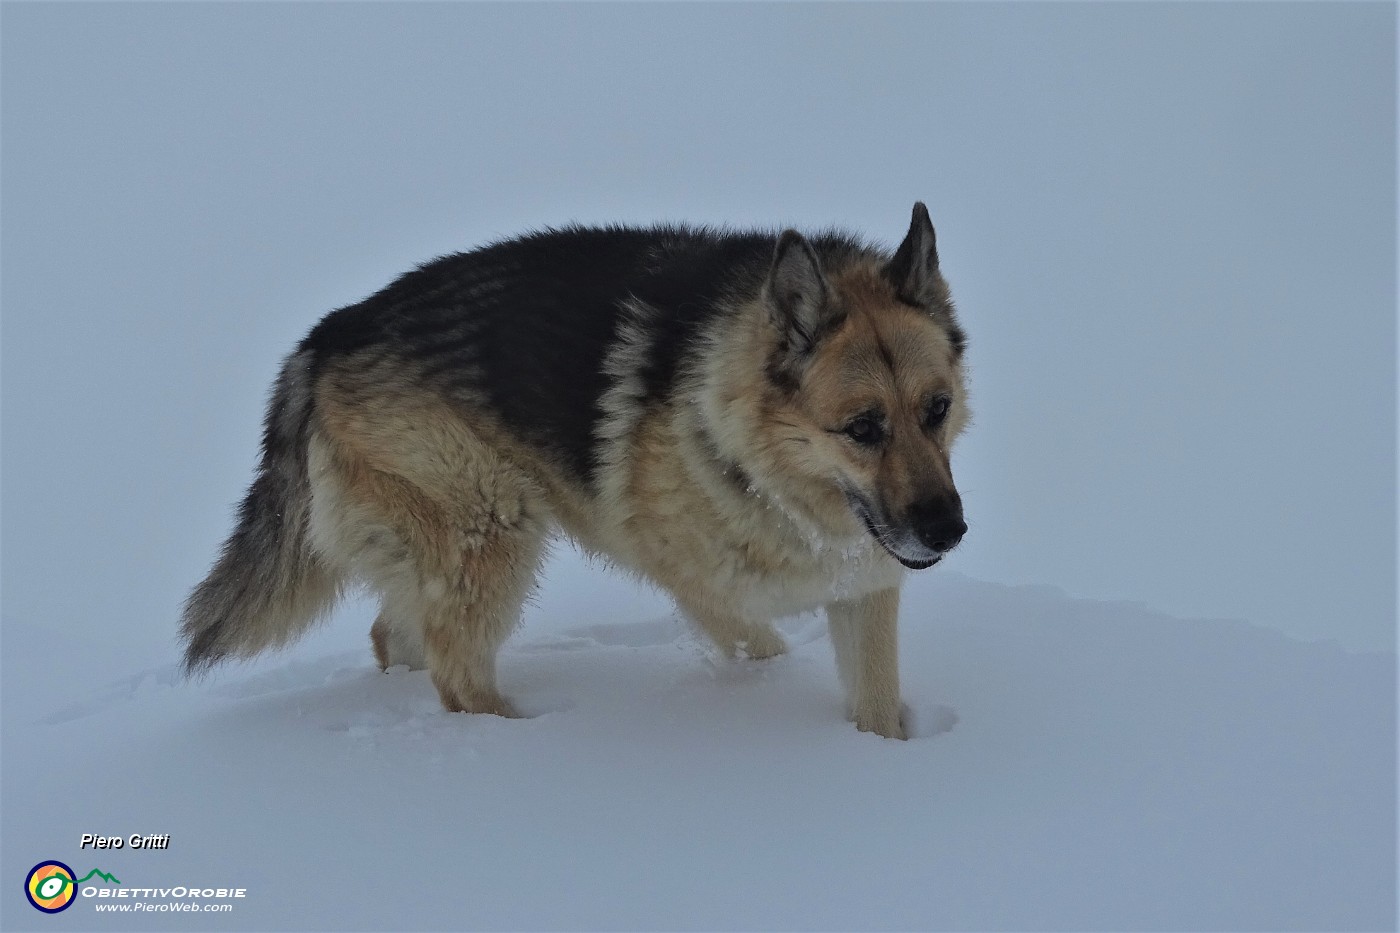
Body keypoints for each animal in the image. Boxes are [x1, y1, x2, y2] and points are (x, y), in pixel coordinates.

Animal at [180, 201, 968, 734]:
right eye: (863, 428)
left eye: (937, 408)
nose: (948, 531)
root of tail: (324, 337)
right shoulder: (699, 585)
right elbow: (762, 647)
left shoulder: (864, 591)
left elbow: (874, 704)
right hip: (493, 529)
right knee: (458, 674)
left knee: (396, 637)